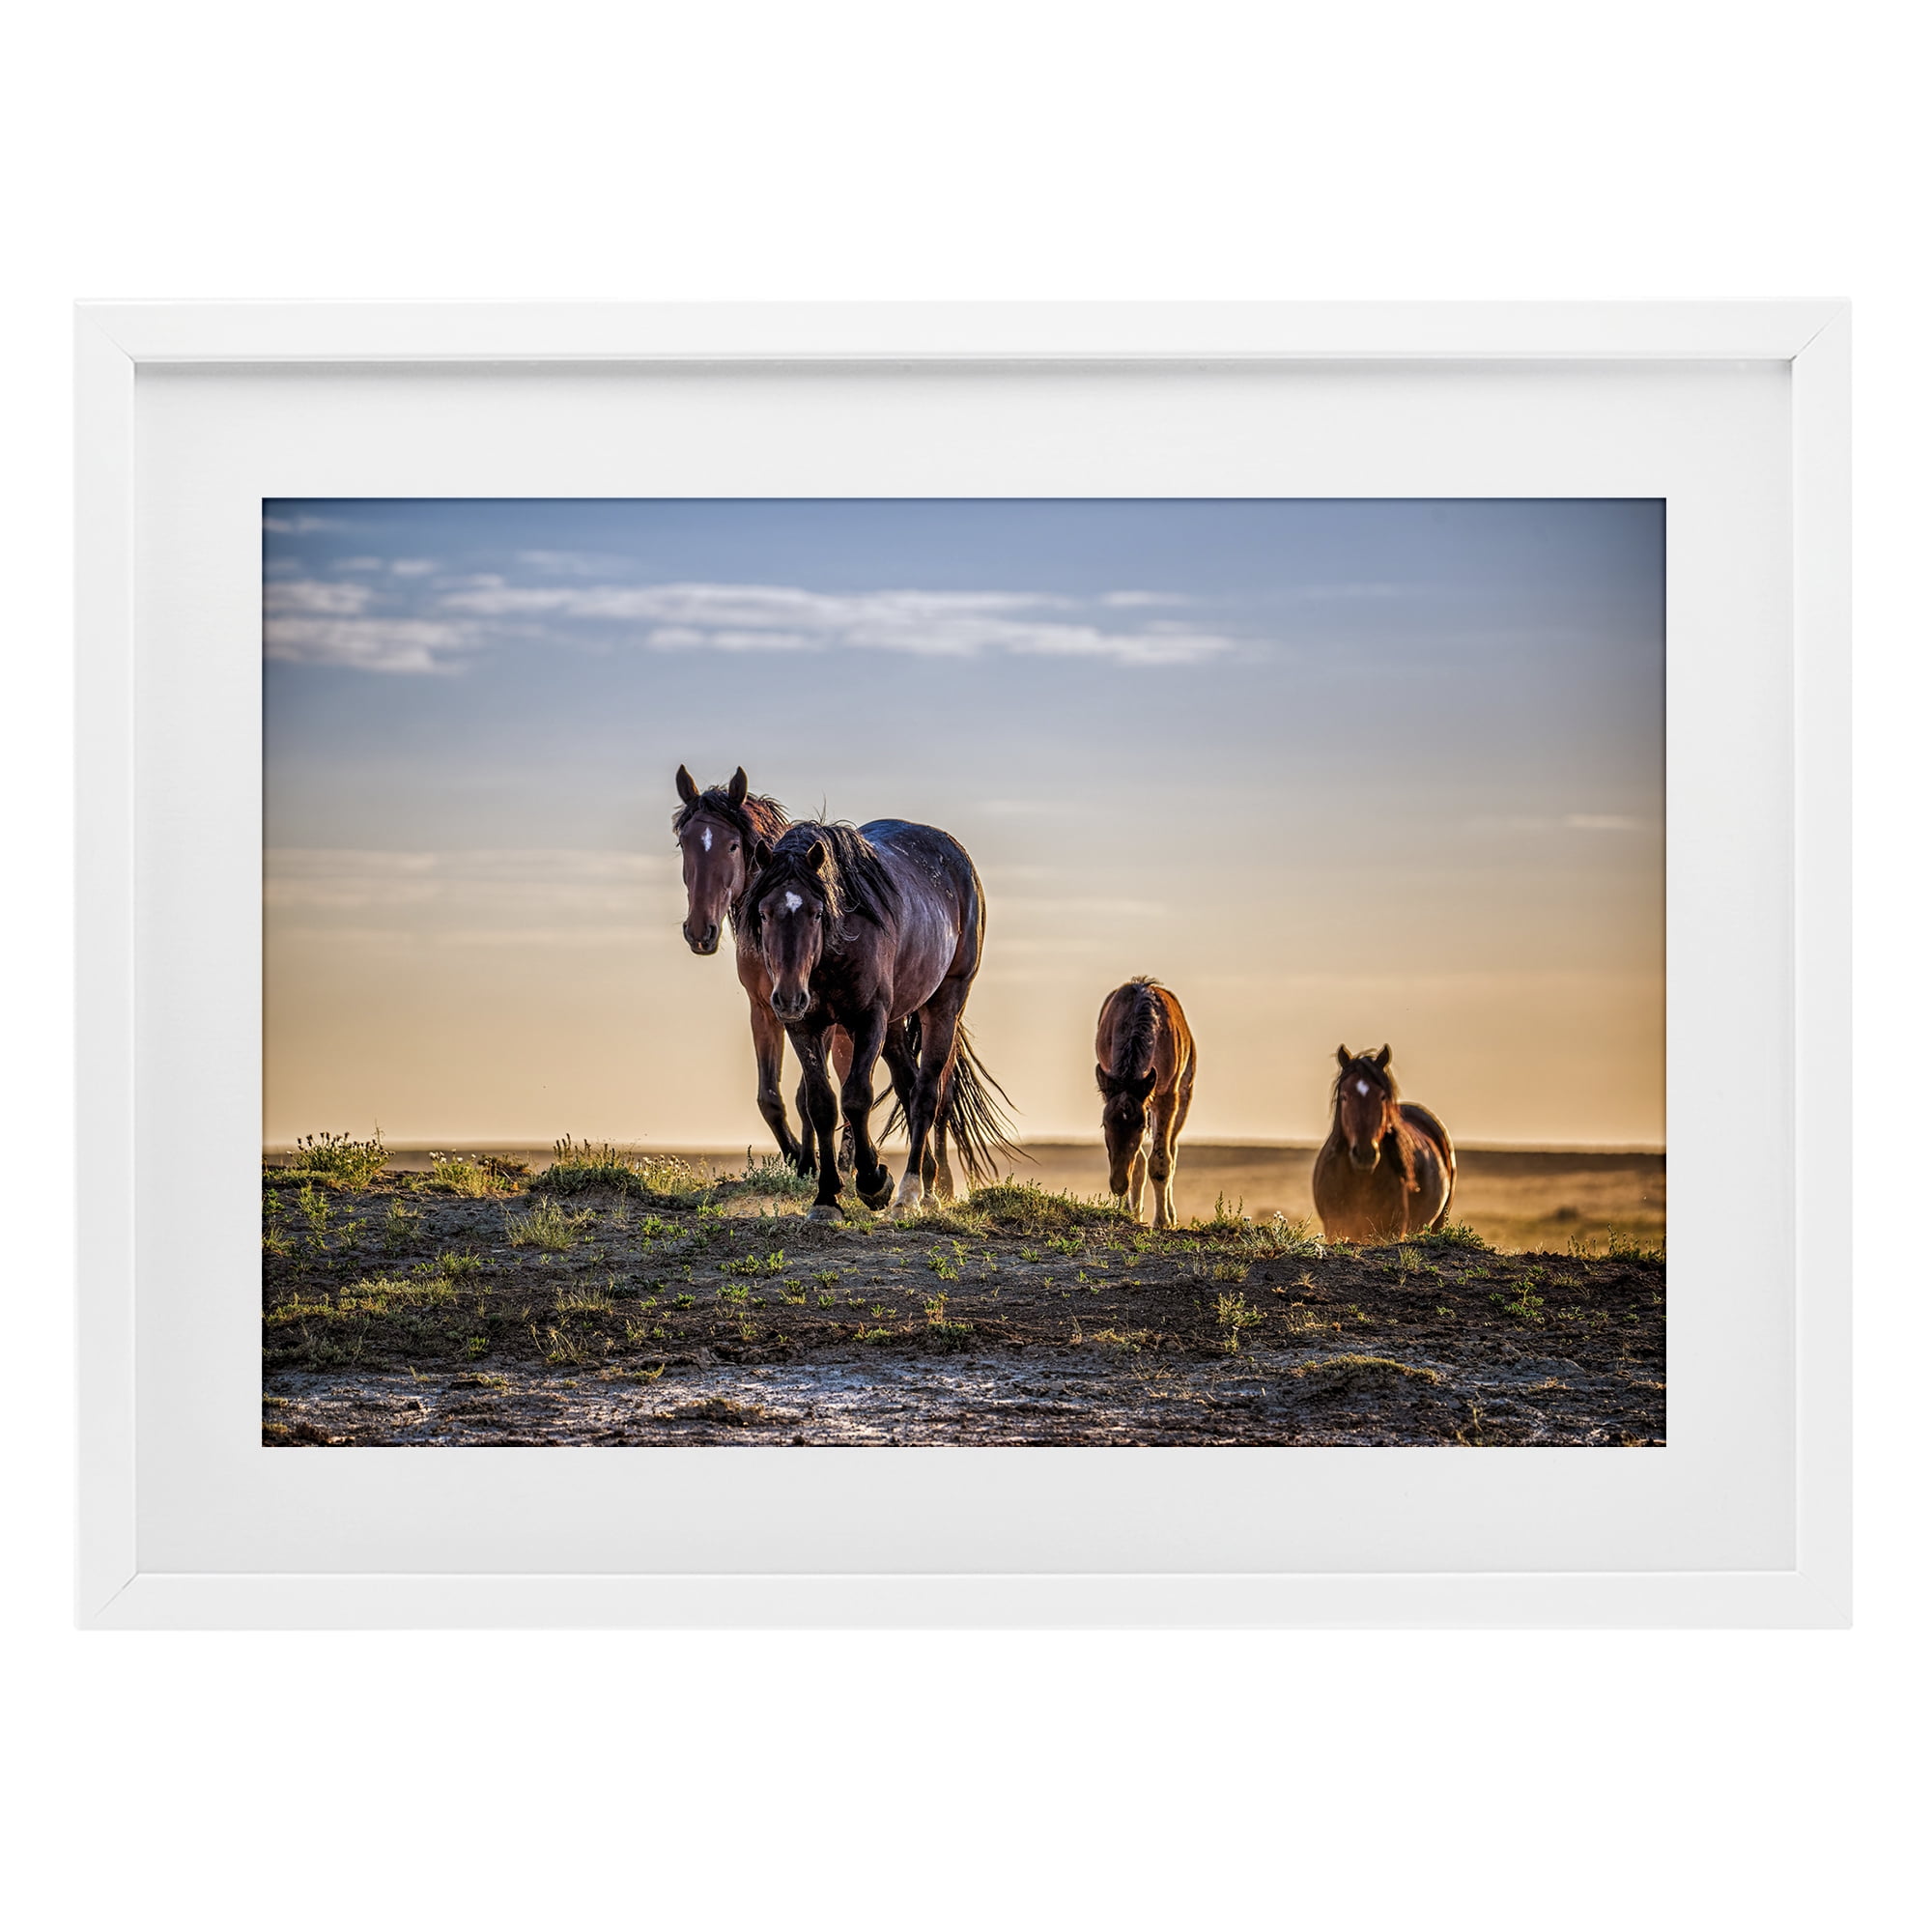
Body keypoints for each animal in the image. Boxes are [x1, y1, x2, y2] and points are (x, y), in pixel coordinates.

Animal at [741, 817, 1021, 1219]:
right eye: (764, 914)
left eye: (817, 913)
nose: (789, 997)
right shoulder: (804, 1026)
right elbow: (821, 1104)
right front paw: (826, 1198)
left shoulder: (868, 1018)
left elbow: (857, 1097)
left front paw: (873, 1182)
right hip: (893, 1025)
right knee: (908, 1085)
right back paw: (927, 1183)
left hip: (944, 1004)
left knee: (926, 1093)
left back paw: (909, 1193)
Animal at [1094, 976, 1196, 1228]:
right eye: (1104, 1125)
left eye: (1140, 1126)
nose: (1118, 1184)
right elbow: (1138, 1162)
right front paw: (1127, 1211)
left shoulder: (1167, 1096)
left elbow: (1161, 1162)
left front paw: (1162, 1221)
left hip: (1184, 1096)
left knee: (1172, 1151)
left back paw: (1170, 1215)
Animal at [1310, 1044, 1456, 1242]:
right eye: (1345, 1096)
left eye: (1382, 1097)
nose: (1364, 1154)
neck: (1361, 1180)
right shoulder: (1334, 1228)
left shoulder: (1391, 1231)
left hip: (1439, 1221)